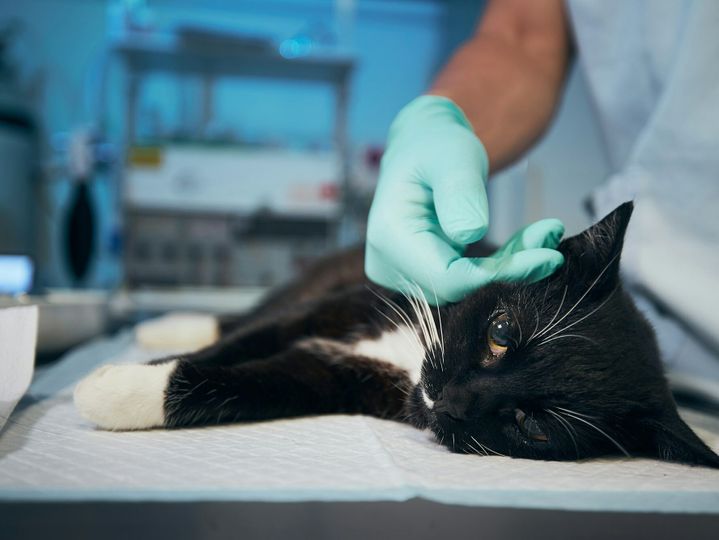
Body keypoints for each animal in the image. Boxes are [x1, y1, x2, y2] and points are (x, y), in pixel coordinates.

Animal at [73, 202, 719, 468]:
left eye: (533, 427)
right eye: (502, 331)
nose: (451, 399)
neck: (408, 362)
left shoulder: (338, 379)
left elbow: (255, 382)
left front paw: (119, 394)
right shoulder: (350, 304)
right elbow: (246, 340)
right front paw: (118, 379)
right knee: (254, 312)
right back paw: (165, 324)